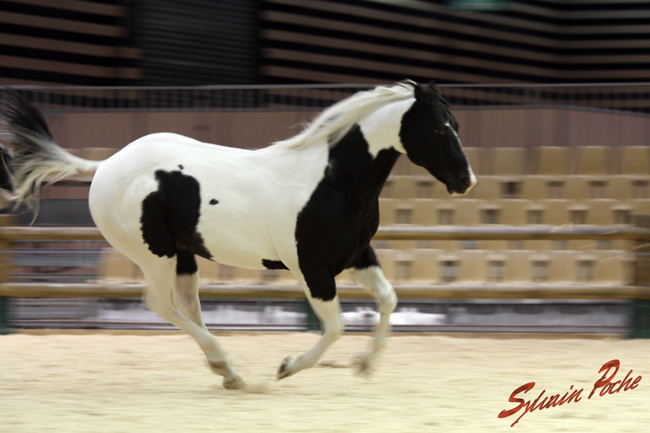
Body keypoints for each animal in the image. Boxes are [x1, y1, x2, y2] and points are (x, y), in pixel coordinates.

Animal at [0, 80, 476, 388]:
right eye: (438, 127)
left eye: (457, 124)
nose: (466, 180)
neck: (330, 183)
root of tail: (105, 165)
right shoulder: (311, 269)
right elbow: (336, 327)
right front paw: (287, 367)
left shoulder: (357, 256)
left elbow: (389, 299)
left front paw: (364, 365)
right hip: (154, 254)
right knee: (160, 303)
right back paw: (227, 365)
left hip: (184, 256)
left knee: (187, 306)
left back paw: (226, 372)